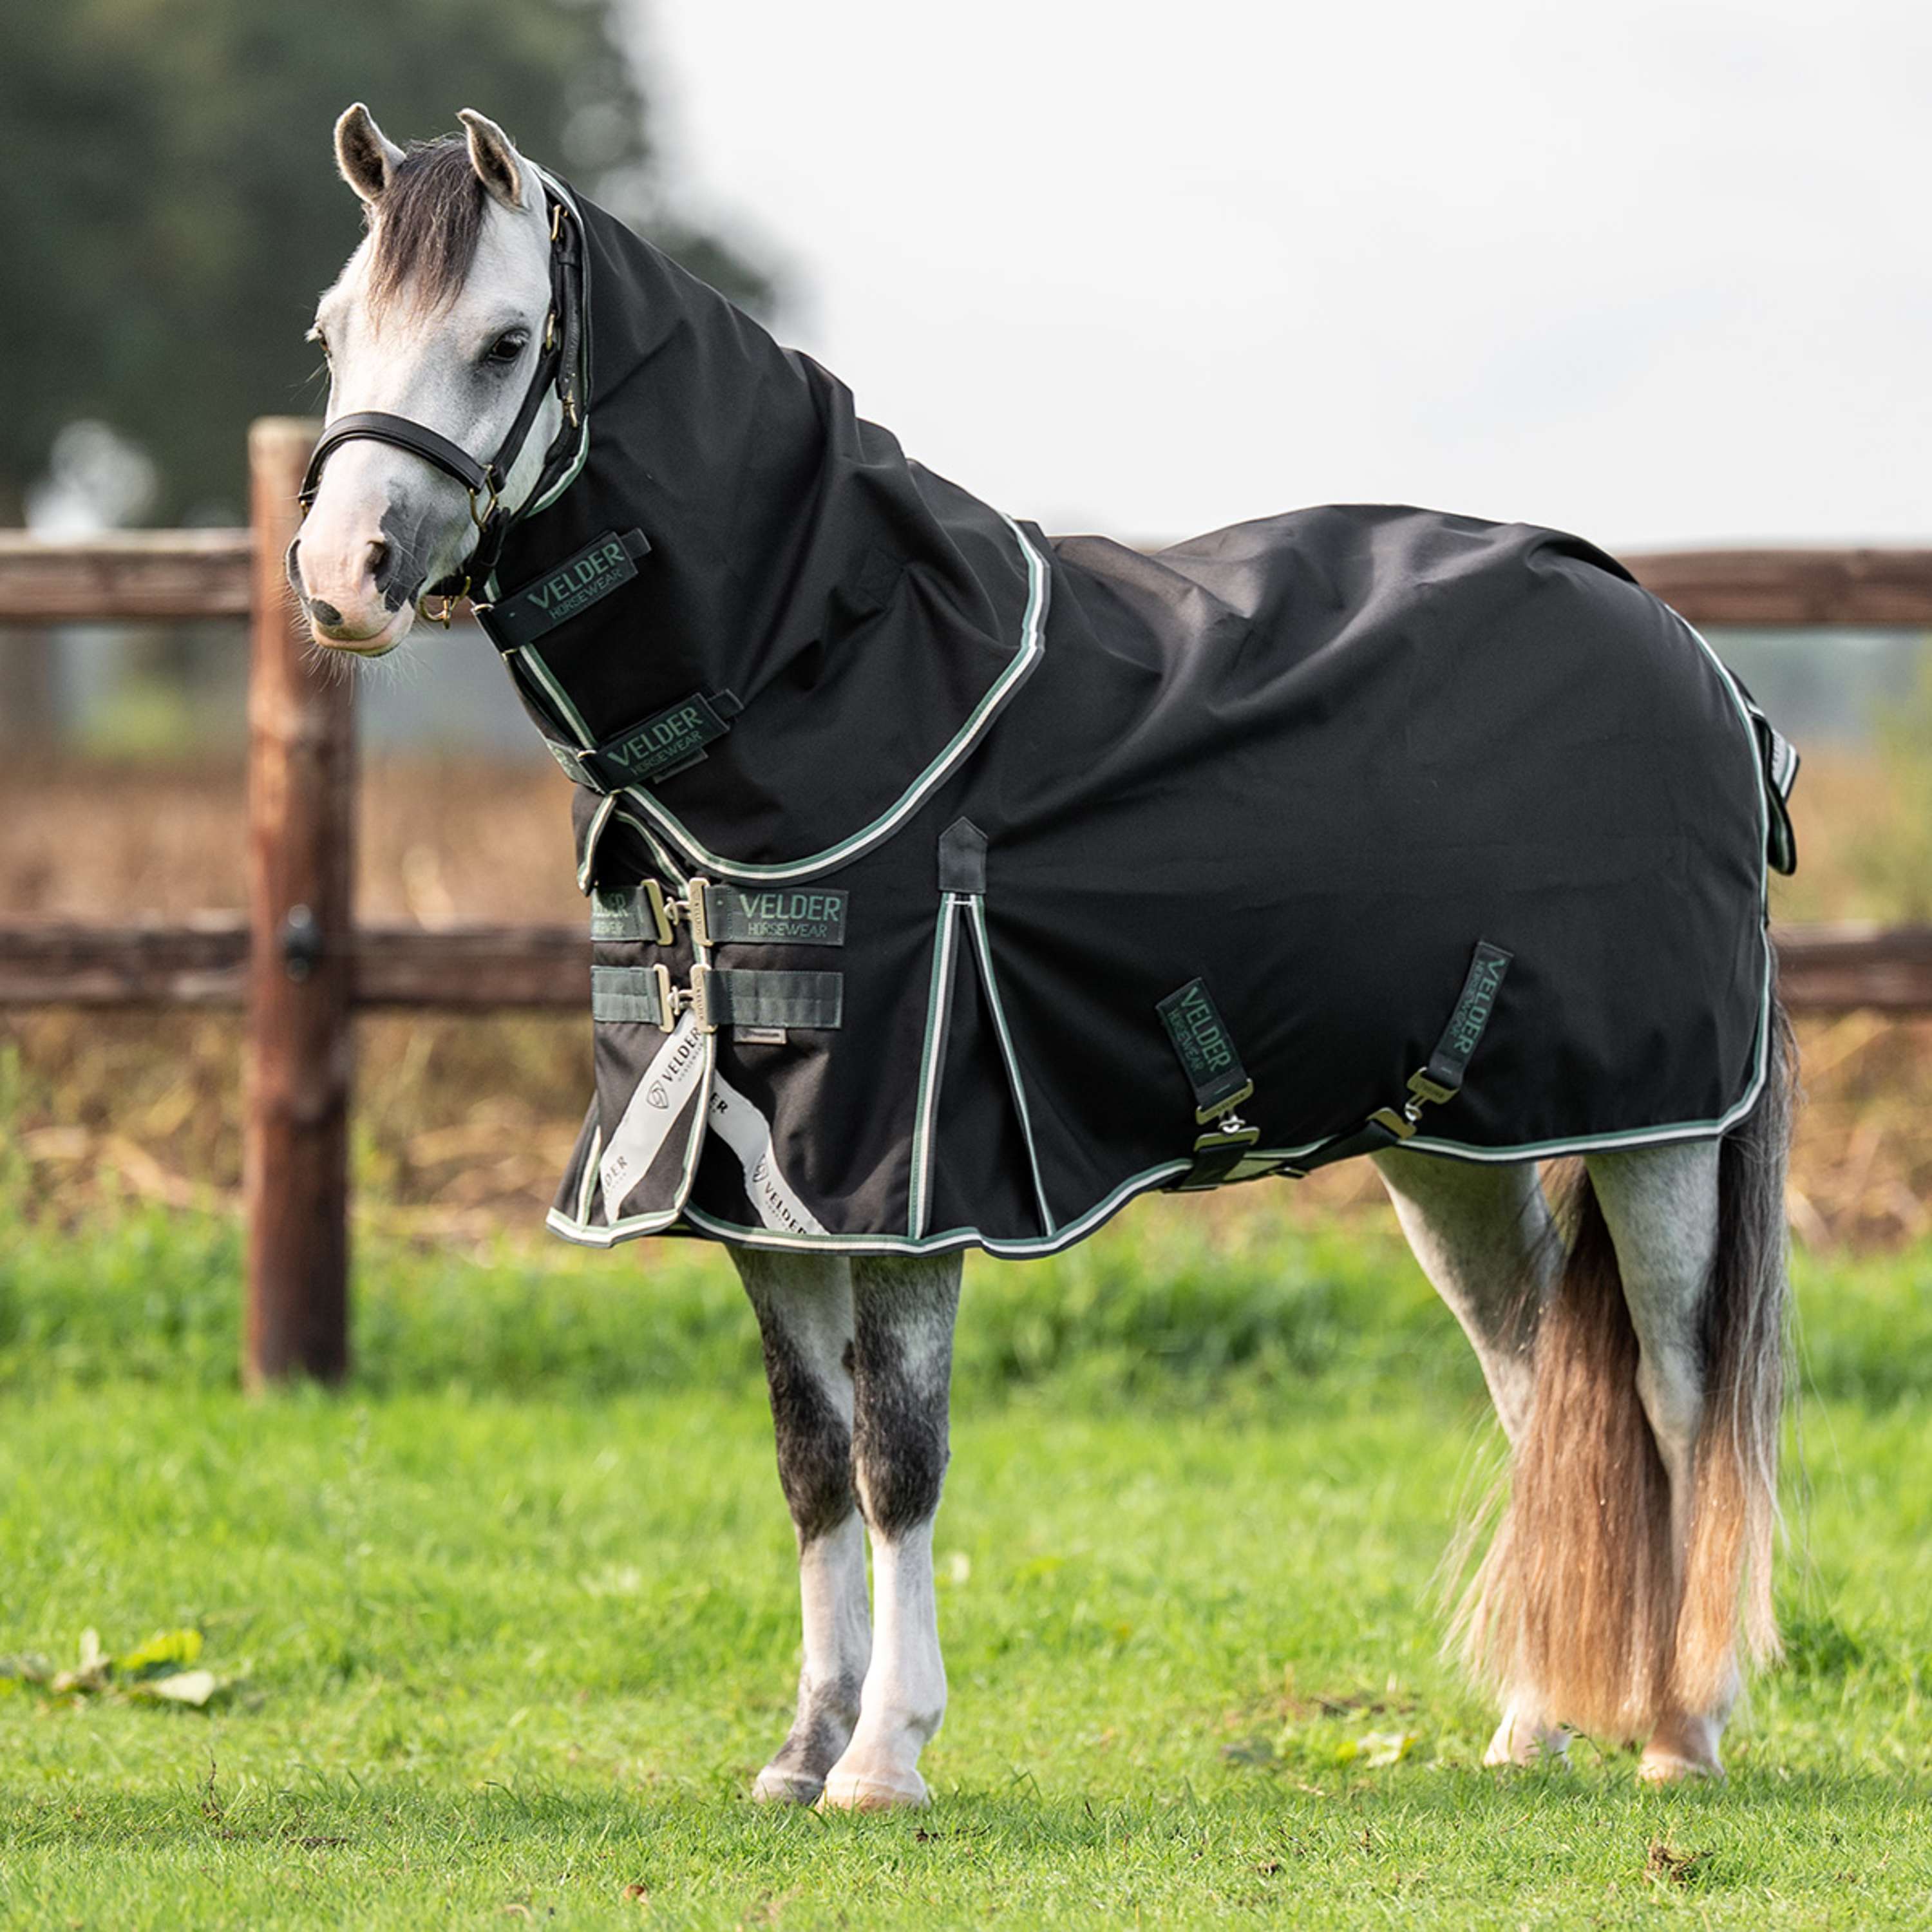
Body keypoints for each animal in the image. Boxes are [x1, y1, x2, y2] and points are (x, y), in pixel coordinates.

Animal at [290, 103, 1794, 1809]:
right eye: (333, 333)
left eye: (501, 340)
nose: (340, 576)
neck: (837, 675)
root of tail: (1698, 663)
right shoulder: (755, 1190)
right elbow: (810, 1464)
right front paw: (803, 1748)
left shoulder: (907, 1185)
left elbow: (898, 1459)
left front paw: (887, 1754)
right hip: (1451, 1146)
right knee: (1542, 1388)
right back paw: (1532, 1722)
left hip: (1659, 1132)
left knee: (1675, 1402)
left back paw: (1681, 1728)